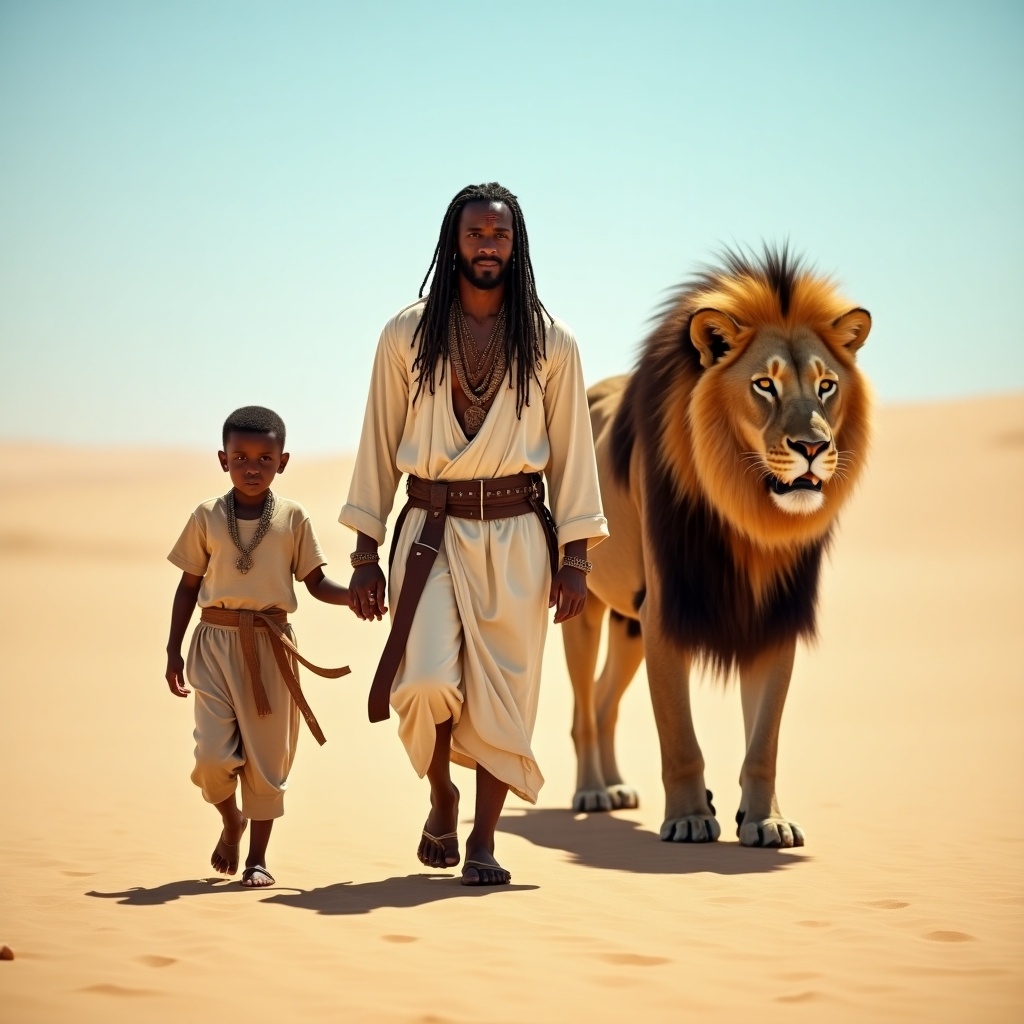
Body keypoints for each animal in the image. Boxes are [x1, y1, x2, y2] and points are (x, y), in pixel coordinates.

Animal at [565, 247, 876, 847]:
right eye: (764, 385)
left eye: (827, 386)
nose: (813, 447)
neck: (749, 518)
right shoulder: (666, 612)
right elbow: (679, 737)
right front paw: (689, 817)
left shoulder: (775, 613)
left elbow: (764, 742)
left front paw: (766, 821)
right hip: (586, 606)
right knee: (583, 708)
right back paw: (592, 791)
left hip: (628, 621)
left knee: (604, 699)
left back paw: (615, 787)